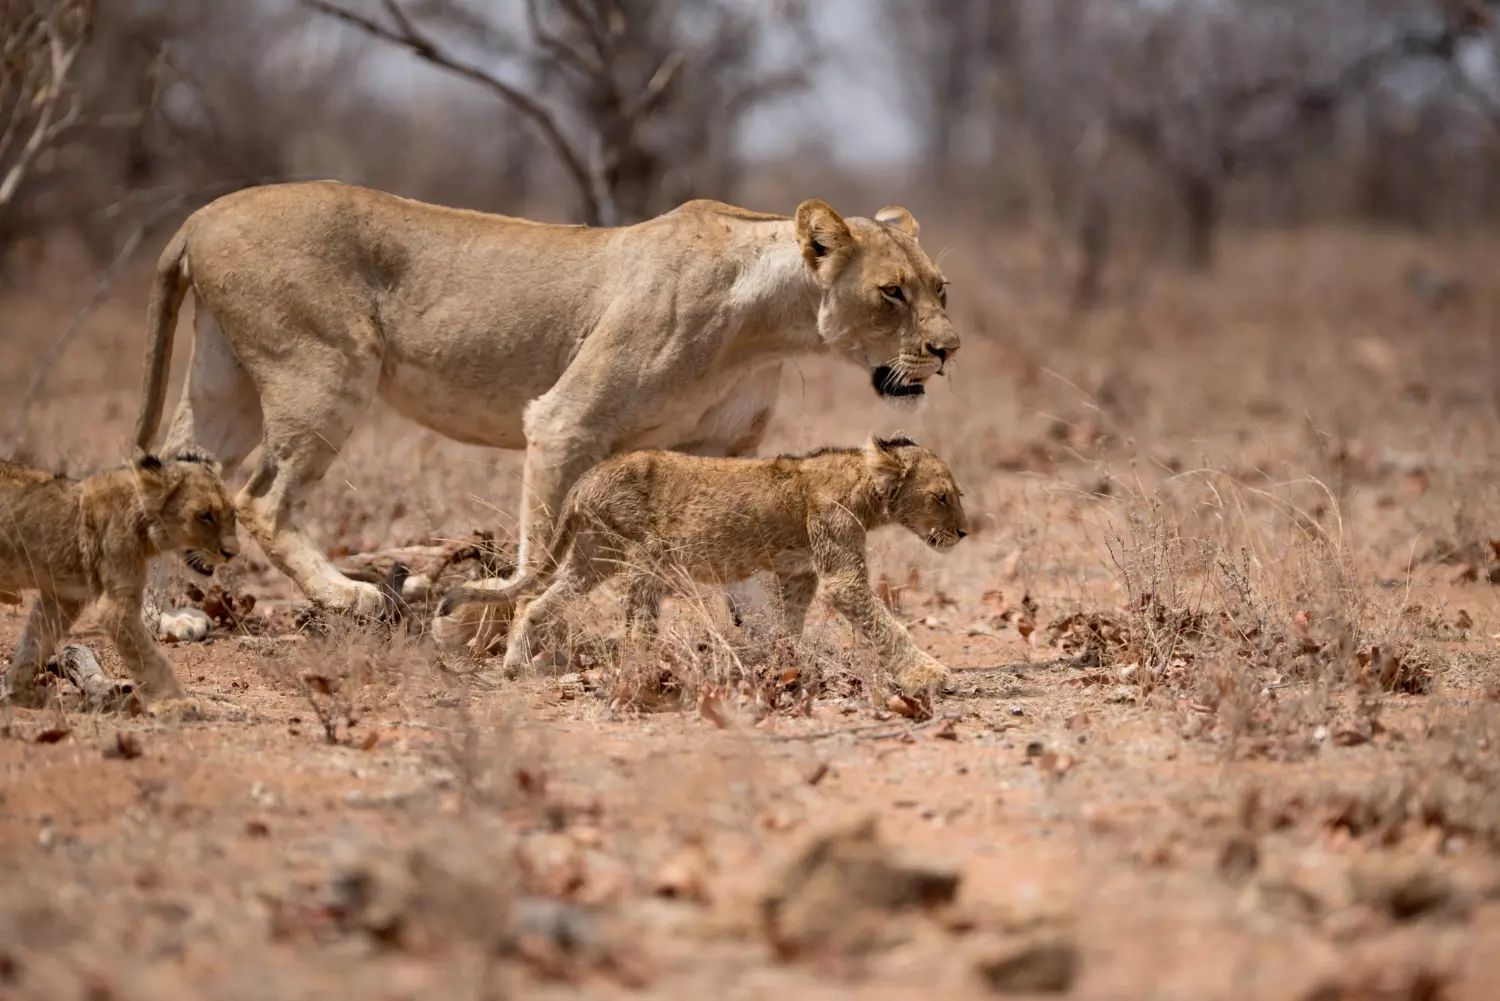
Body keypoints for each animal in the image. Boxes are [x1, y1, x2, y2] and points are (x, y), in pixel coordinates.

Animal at [141, 183, 960, 639]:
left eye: (940, 286)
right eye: (891, 291)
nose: (948, 348)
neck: (767, 326)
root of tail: (200, 215)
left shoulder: (726, 451)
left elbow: (753, 554)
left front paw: (773, 646)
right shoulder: (565, 421)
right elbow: (539, 559)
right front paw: (486, 625)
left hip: (227, 385)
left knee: (174, 479)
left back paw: (164, 620)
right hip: (325, 368)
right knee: (262, 500)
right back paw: (351, 597)